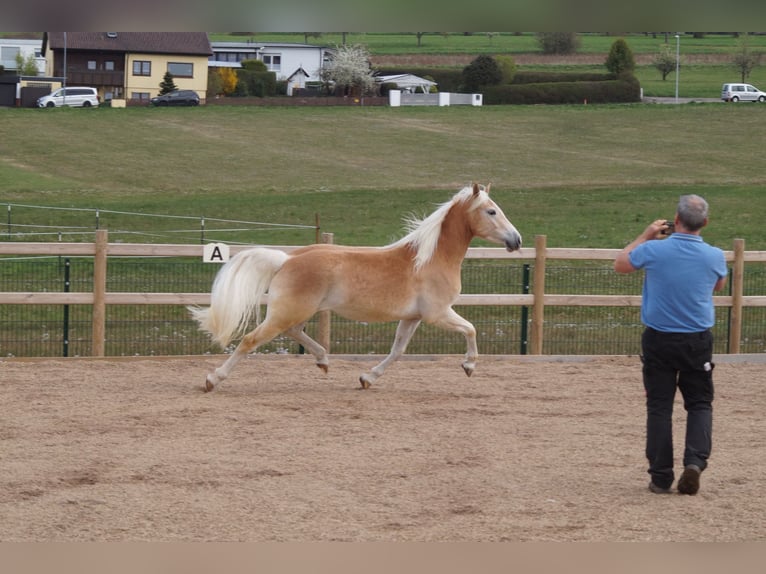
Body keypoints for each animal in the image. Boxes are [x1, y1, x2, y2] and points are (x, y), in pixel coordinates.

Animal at [190, 183, 522, 392]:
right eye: (491, 211)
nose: (516, 240)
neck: (429, 259)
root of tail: (287, 258)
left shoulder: (412, 318)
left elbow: (398, 350)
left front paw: (367, 378)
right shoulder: (438, 314)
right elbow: (471, 329)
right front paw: (469, 366)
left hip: (295, 311)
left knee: (293, 332)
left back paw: (323, 361)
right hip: (288, 311)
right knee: (250, 340)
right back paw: (212, 380)